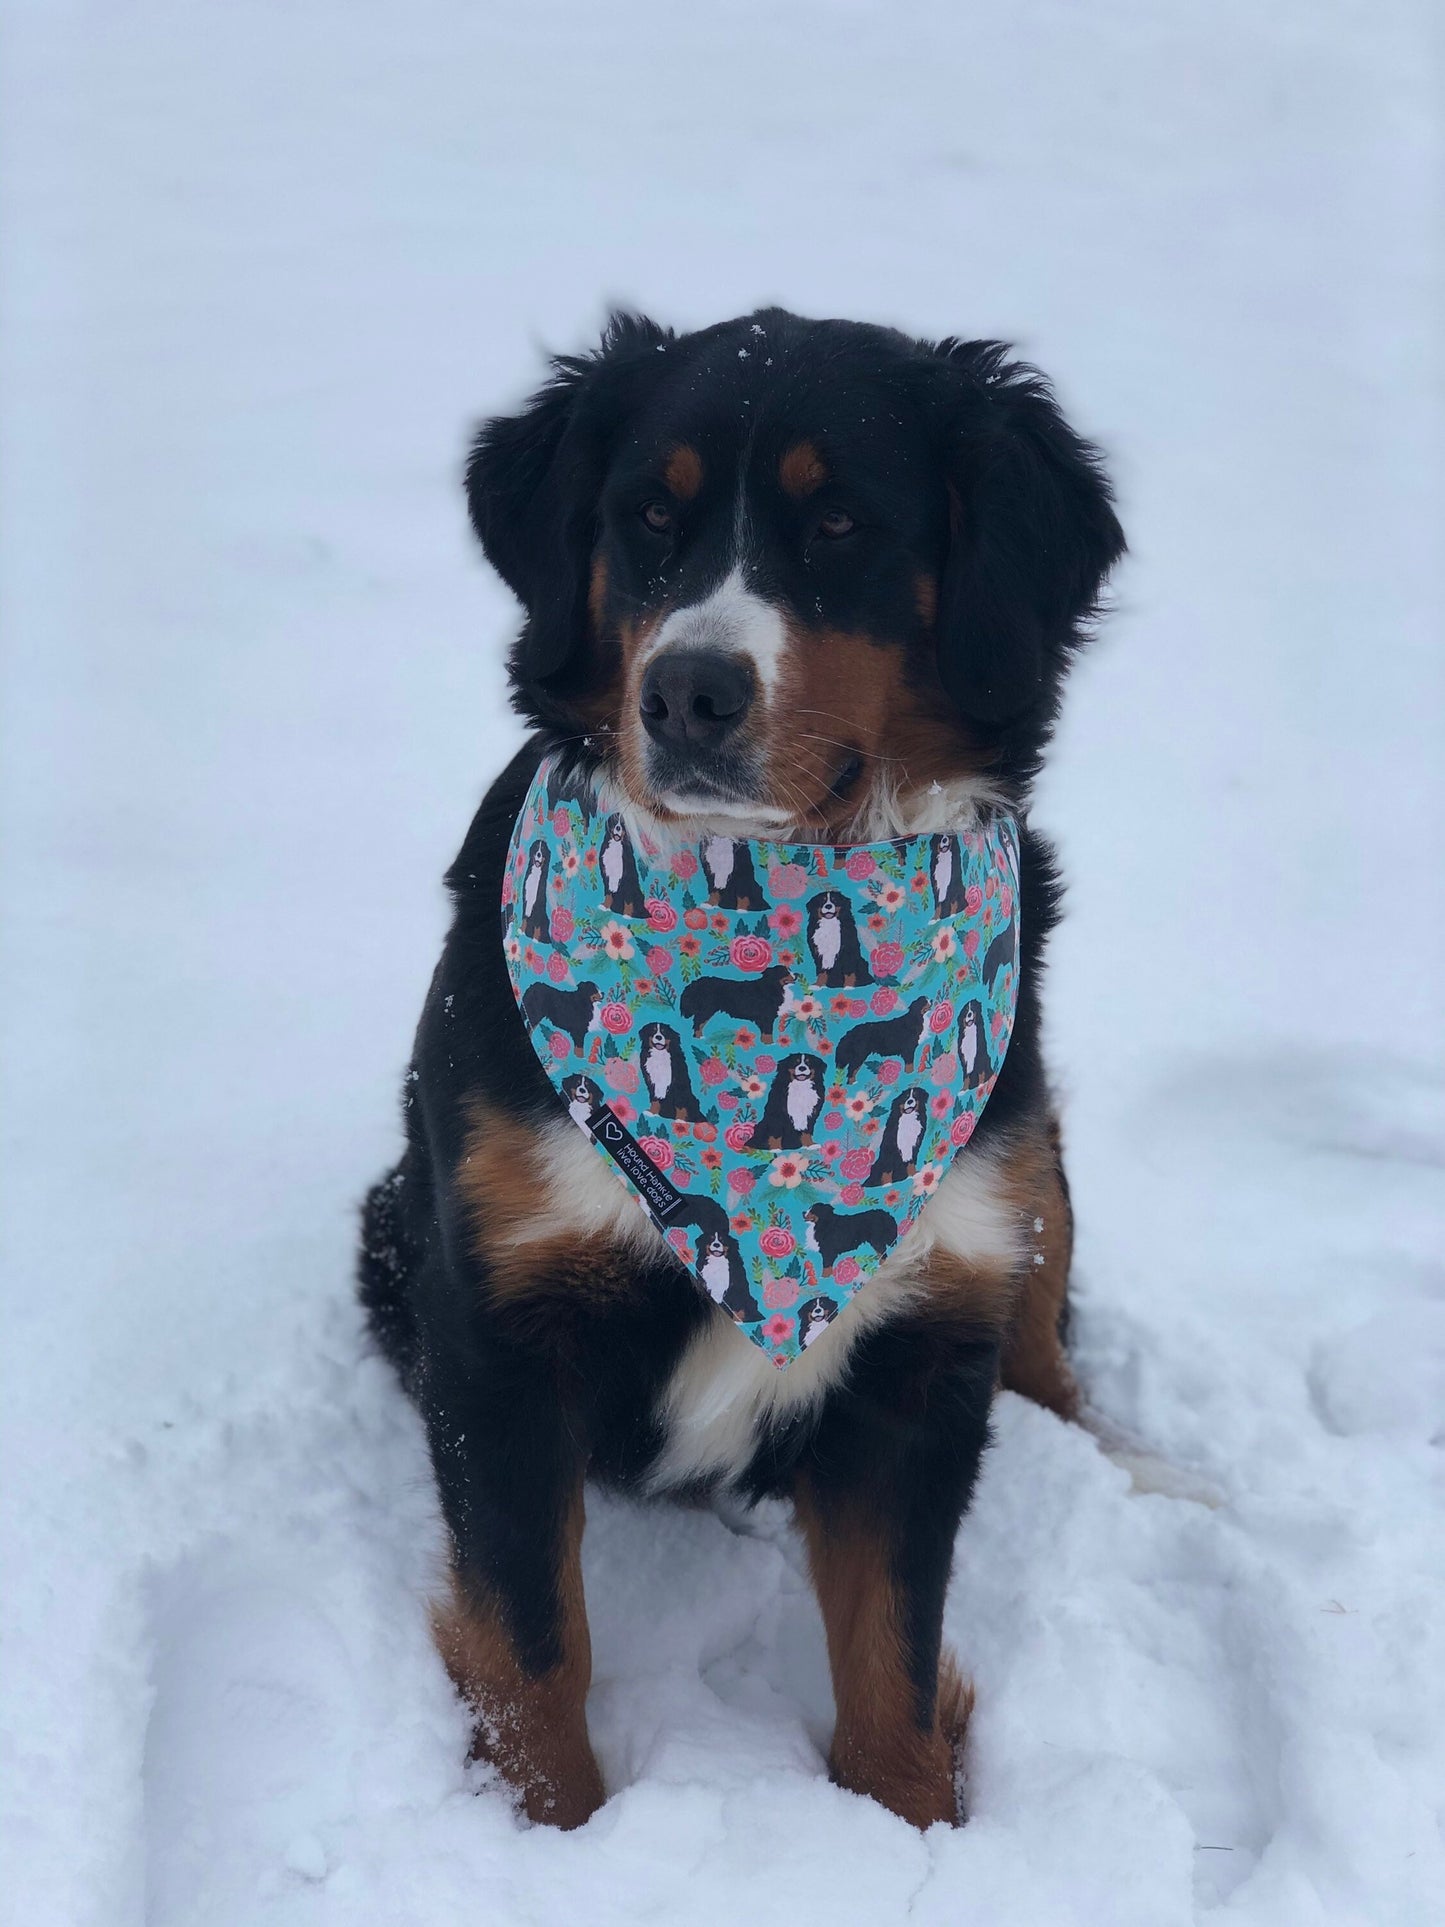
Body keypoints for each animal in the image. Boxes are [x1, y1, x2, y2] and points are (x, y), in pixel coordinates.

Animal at [356, 308, 1125, 1826]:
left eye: (839, 523)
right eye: (649, 515)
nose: (687, 689)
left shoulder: (923, 1340)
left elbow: (892, 1655)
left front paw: (913, 1830)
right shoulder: (499, 1318)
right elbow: (532, 1642)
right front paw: (552, 1833)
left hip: (1031, 1185)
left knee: (1049, 1355)